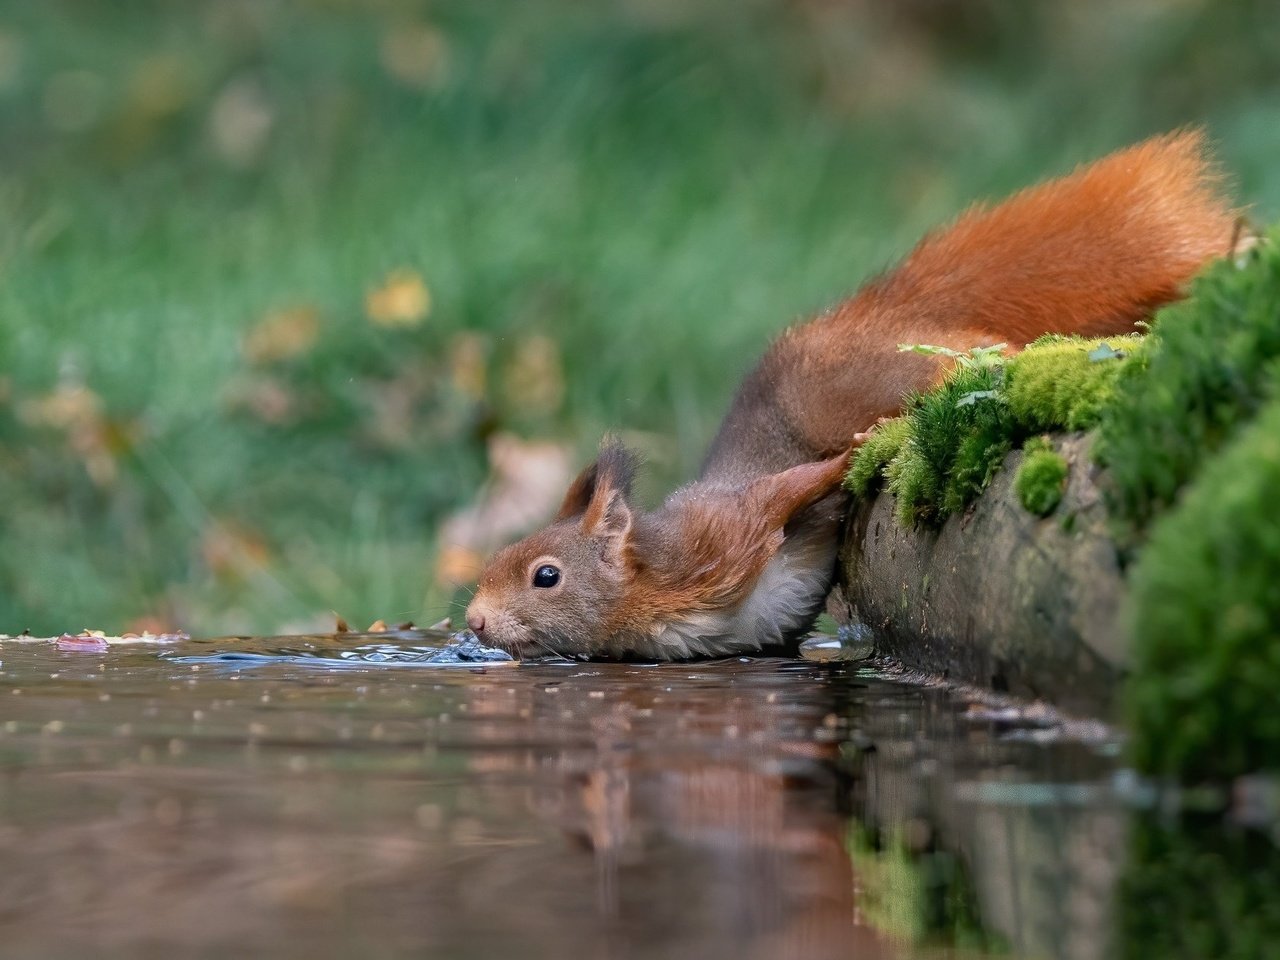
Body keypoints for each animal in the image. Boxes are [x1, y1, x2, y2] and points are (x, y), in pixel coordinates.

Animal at [465, 131, 1233, 660]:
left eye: (544, 576)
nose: (472, 620)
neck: (648, 589)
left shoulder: (723, 533)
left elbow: (789, 490)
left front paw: (846, 462)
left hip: (863, 378)